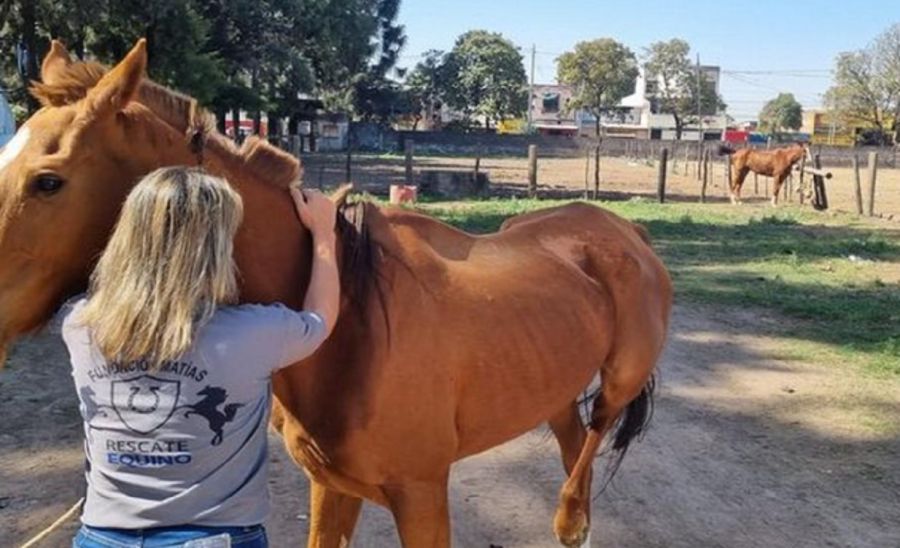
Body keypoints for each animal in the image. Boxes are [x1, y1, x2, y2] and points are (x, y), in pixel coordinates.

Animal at [0, 40, 672, 547]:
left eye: (48, 181)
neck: (350, 322)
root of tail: (626, 230)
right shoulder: (332, 486)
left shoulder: (422, 496)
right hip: (553, 384)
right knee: (572, 439)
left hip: (619, 381)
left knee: (592, 441)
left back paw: (569, 519)